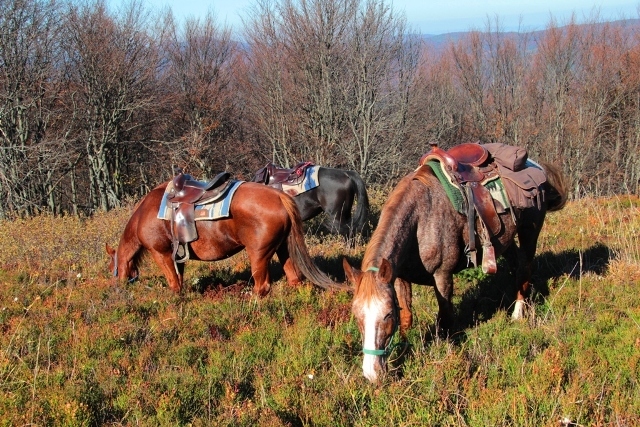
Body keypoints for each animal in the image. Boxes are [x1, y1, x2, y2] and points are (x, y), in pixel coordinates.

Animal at [106, 181, 344, 298]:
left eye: (111, 268)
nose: (116, 288)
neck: (144, 214)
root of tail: (279, 196)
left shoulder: (161, 253)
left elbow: (173, 283)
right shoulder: (178, 256)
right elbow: (179, 279)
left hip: (259, 254)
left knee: (262, 286)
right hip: (283, 249)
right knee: (294, 280)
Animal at [342, 152, 568, 382]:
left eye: (388, 315)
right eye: (357, 315)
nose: (371, 373)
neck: (421, 219)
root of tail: (535, 165)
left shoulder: (442, 275)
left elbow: (445, 318)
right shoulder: (400, 277)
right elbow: (407, 318)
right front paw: (403, 350)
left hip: (530, 232)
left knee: (525, 267)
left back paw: (518, 313)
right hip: (503, 240)